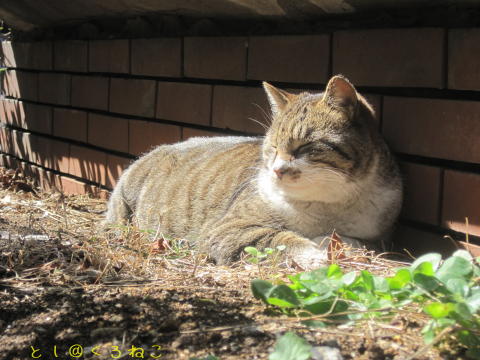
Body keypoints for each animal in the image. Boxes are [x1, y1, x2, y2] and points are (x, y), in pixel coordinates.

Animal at [104, 74, 402, 268]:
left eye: (305, 146)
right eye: (272, 147)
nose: (278, 170)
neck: (326, 206)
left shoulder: (379, 235)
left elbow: (354, 241)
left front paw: (331, 243)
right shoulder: (227, 228)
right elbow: (274, 237)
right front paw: (313, 254)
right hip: (125, 198)